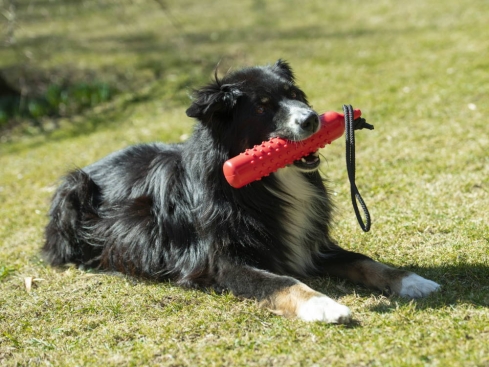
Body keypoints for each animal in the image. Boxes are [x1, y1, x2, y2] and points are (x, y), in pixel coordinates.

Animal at [43, 61, 438, 324]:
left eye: (296, 95)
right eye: (262, 107)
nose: (312, 119)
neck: (265, 184)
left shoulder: (310, 244)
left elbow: (363, 260)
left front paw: (412, 280)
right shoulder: (222, 263)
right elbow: (282, 281)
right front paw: (324, 305)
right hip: (72, 188)